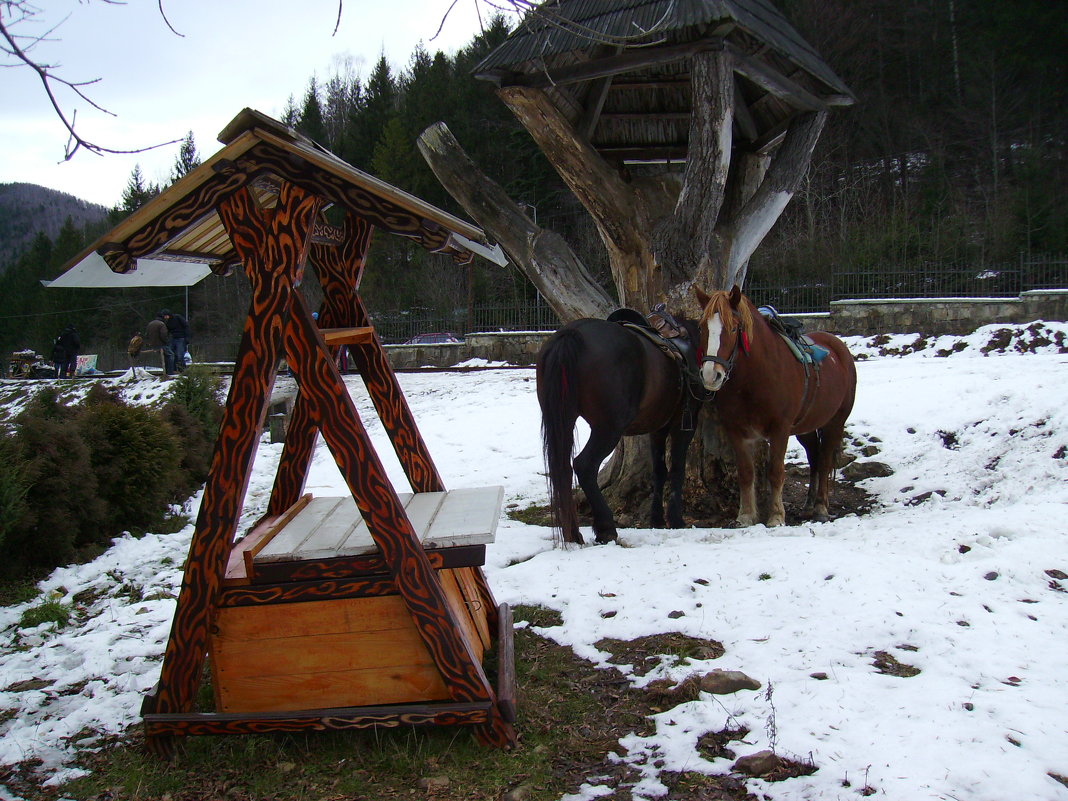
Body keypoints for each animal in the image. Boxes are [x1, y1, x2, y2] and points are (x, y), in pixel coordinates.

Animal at [538, 318, 704, 546]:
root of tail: (573, 332)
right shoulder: (684, 423)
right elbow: (677, 470)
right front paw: (676, 519)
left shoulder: (658, 427)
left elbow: (659, 470)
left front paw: (657, 519)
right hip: (608, 429)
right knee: (584, 465)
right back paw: (606, 528)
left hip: (565, 419)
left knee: (562, 468)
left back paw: (572, 533)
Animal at [692, 288, 858, 527]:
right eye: (702, 328)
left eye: (733, 327)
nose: (710, 375)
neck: (755, 379)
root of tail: (839, 349)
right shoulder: (737, 431)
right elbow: (746, 473)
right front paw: (746, 515)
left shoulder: (780, 429)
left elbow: (776, 471)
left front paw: (776, 516)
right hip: (806, 428)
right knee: (814, 458)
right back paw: (808, 506)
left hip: (834, 423)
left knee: (825, 461)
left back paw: (820, 508)